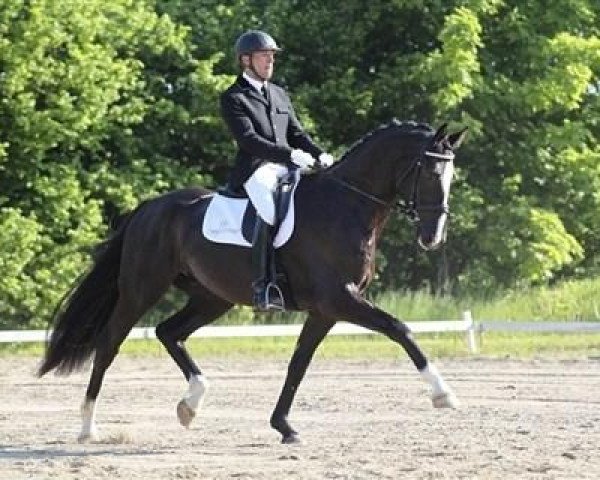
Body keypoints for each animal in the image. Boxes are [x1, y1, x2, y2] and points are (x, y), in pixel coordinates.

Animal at [38, 119, 468, 442]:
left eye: (451, 173)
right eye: (431, 171)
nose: (433, 237)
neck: (345, 206)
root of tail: (148, 207)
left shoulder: (326, 310)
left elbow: (298, 364)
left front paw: (284, 426)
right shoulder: (338, 300)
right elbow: (399, 328)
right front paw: (444, 394)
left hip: (213, 297)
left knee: (169, 332)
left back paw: (191, 404)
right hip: (141, 290)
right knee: (110, 343)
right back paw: (88, 427)